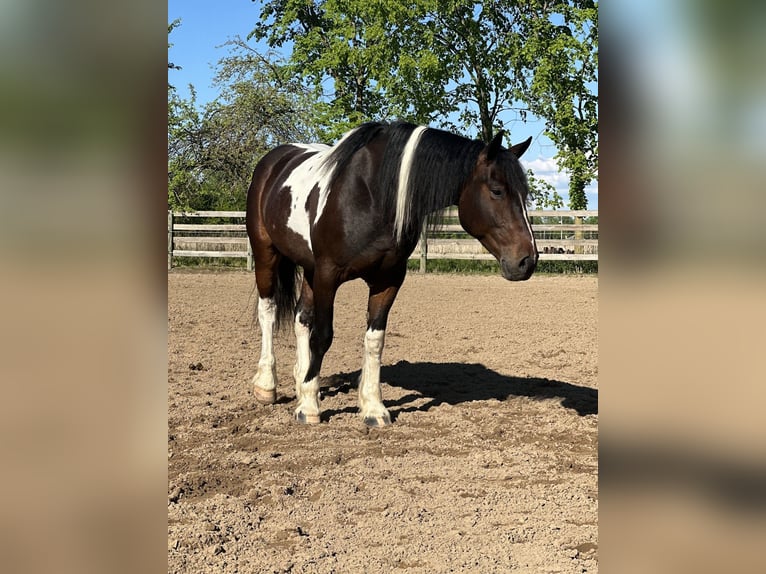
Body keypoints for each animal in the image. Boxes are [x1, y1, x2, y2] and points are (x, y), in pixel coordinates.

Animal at [246, 121, 537, 426]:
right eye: (497, 190)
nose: (527, 260)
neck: (373, 195)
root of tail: (272, 161)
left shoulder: (388, 279)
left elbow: (375, 340)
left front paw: (373, 407)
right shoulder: (328, 274)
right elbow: (322, 336)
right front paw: (309, 408)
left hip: (309, 267)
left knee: (301, 317)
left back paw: (302, 379)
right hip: (267, 254)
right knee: (269, 311)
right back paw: (267, 385)